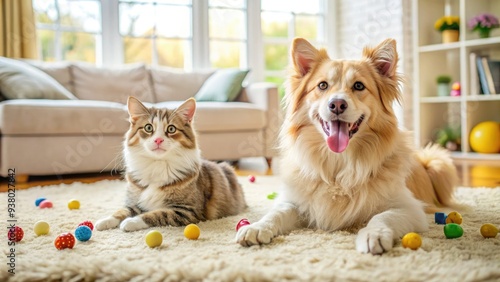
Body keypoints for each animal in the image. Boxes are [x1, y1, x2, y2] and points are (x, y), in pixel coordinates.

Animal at [95, 95, 246, 231]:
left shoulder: (187, 210)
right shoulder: (136, 200)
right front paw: (105, 221)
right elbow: (122, 210)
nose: (158, 140)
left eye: (171, 129)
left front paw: (131, 222)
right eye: (148, 128)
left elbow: (157, 214)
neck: (157, 164)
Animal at [236, 38, 458, 256]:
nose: (337, 104)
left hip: (438, 165)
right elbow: (277, 212)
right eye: (322, 85)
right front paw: (257, 227)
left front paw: (373, 234)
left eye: (359, 86)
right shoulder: (294, 200)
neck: (339, 164)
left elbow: (381, 217)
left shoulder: (411, 209)